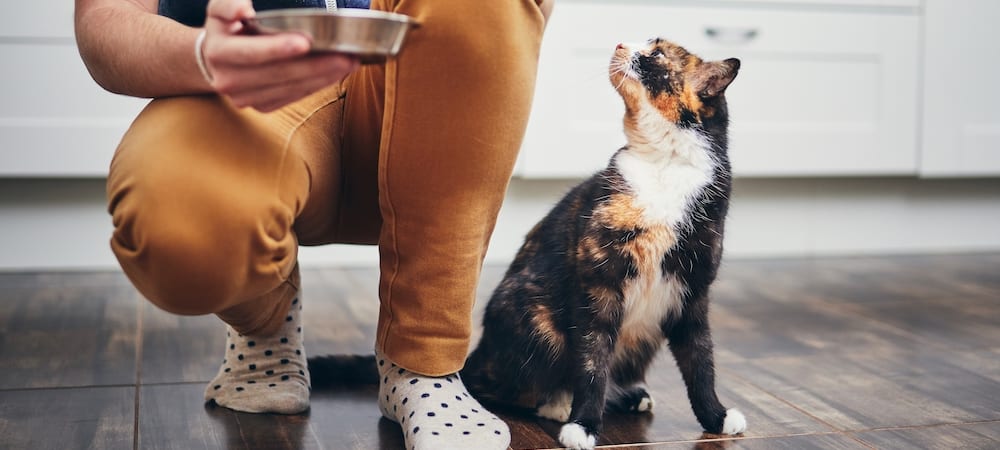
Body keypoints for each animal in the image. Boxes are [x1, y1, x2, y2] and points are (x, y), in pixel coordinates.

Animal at [458, 38, 748, 450]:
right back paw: (557, 404)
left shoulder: (691, 293)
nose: (621, 43)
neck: (665, 162)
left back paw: (630, 396)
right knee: (492, 386)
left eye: (656, 53)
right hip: (537, 320)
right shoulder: (599, 285)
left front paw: (717, 417)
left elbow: (701, 363)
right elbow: (592, 362)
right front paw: (582, 426)